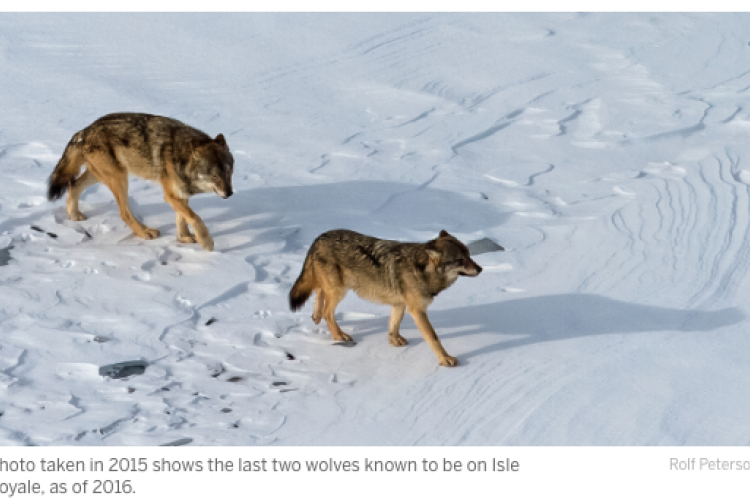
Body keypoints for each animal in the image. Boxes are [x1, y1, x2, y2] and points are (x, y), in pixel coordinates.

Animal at [46, 112, 234, 251]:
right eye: (214, 176)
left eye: (228, 172)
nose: (230, 193)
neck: (181, 157)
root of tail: (85, 130)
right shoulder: (170, 195)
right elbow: (195, 217)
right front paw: (206, 242)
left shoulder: (180, 193)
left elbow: (182, 218)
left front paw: (184, 238)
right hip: (119, 179)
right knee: (124, 213)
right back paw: (145, 233)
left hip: (101, 175)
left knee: (73, 185)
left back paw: (74, 215)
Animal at [289, 229, 487, 367]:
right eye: (460, 260)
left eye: (469, 255)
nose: (480, 269)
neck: (422, 270)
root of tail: (318, 238)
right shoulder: (417, 310)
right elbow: (433, 337)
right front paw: (446, 359)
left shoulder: (399, 304)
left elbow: (394, 324)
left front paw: (394, 340)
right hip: (340, 290)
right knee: (327, 311)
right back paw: (339, 335)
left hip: (335, 288)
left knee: (319, 295)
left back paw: (316, 317)